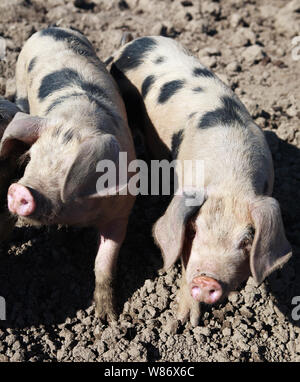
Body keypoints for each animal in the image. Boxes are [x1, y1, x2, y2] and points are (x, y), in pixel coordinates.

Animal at [0, 26, 136, 320]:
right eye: (31, 158)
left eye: (68, 172)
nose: (19, 190)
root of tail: (49, 28)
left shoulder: (121, 212)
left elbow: (104, 263)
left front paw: (107, 317)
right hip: (19, 81)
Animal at [110, 35, 292, 326]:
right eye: (194, 229)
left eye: (247, 240)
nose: (207, 281)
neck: (230, 181)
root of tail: (133, 42)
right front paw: (185, 322)